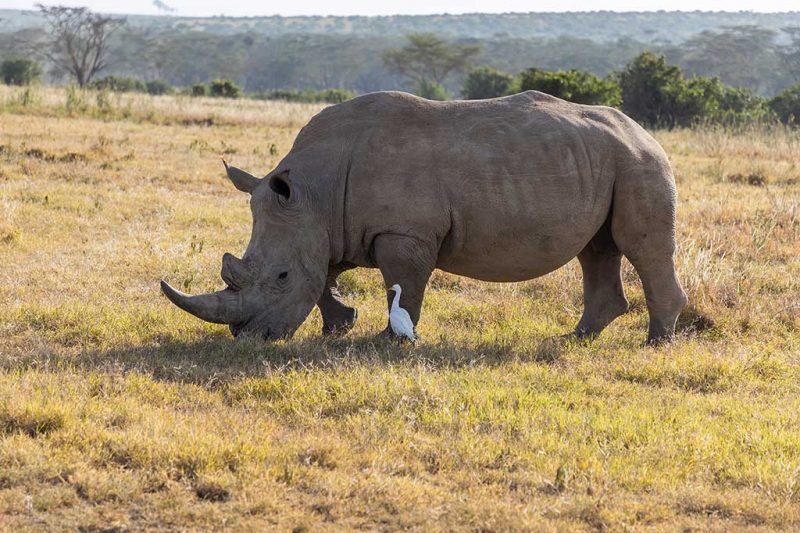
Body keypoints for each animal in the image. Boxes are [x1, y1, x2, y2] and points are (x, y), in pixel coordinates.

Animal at [161, 91, 688, 345]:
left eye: (280, 277)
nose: (248, 337)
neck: (314, 191)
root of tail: (643, 130)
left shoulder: (404, 232)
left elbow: (404, 283)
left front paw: (386, 339)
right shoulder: (327, 225)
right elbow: (325, 274)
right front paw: (339, 327)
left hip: (639, 162)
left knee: (640, 248)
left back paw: (655, 344)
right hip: (605, 160)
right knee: (596, 250)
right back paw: (576, 338)